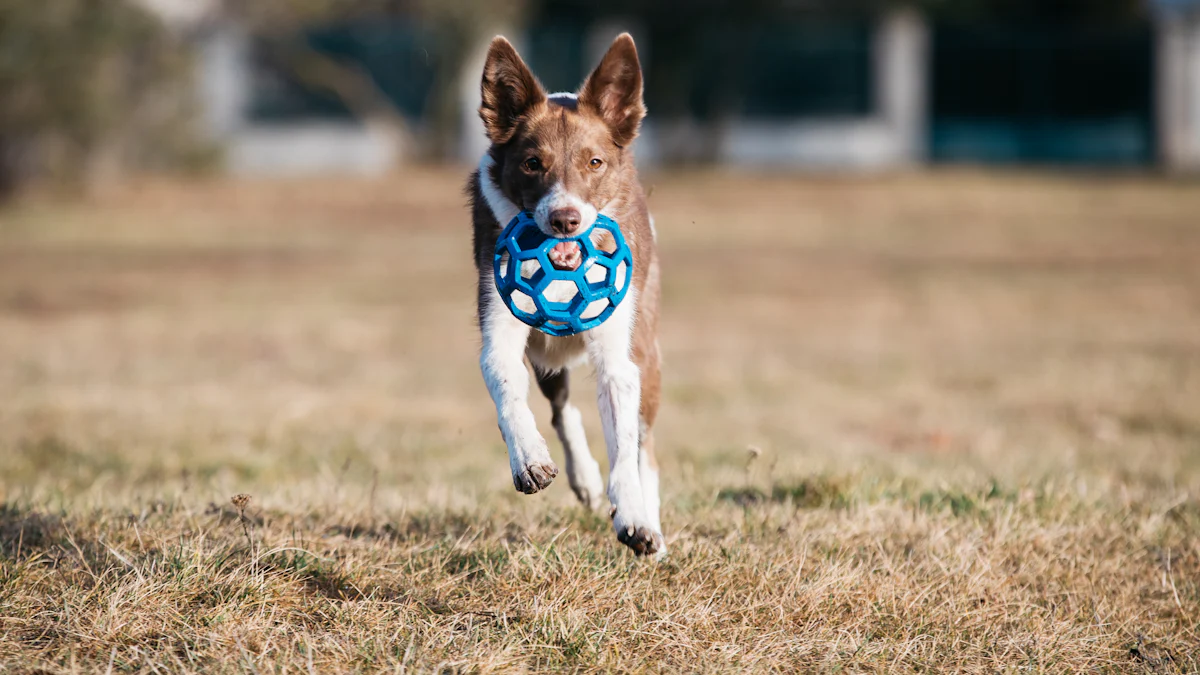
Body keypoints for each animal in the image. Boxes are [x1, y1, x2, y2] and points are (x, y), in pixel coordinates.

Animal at [465, 34, 667, 554]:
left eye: (594, 162)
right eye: (532, 163)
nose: (565, 220)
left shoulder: (620, 353)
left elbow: (625, 445)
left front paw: (635, 519)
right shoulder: (500, 322)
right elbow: (507, 388)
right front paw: (530, 459)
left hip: (647, 346)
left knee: (645, 444)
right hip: (544, 353)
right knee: (561, 408)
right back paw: (584, 478)